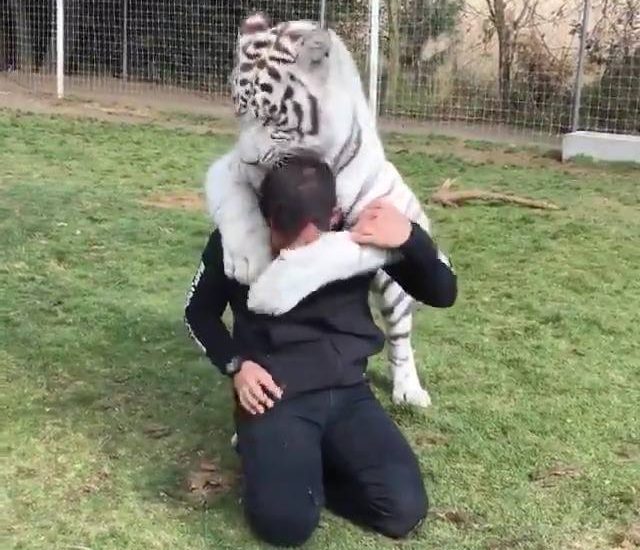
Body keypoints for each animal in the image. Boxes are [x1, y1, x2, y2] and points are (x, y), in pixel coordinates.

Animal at [204, 13, 453, 408]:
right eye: (239, 111)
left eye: (272, 119)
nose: (249, 160)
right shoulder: (225, 169)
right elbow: (236, 204)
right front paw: (246, 262)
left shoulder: (386, 217)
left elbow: (336, 249)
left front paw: (269, 292)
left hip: (398, 292)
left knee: (400, 337)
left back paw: (409, 390)